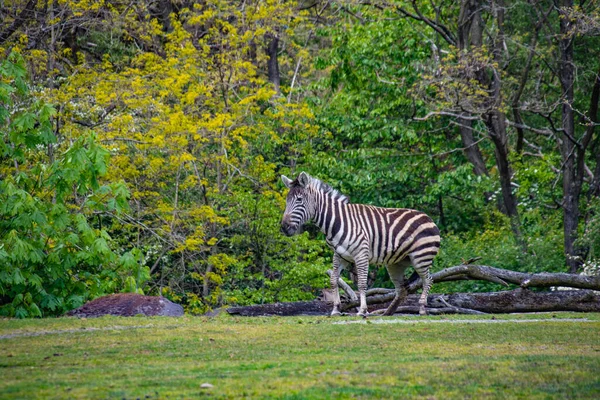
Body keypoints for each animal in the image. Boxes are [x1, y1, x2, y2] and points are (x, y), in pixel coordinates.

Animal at [282, 173, 440, 318]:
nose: (284, 227)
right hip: (396, 263)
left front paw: (363, 311)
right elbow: (333, 280)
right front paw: (336, 309)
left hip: (421, 257)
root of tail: (428, 217)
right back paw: (388, 312)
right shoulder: (339, 255)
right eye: (287, 200)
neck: (336, 223)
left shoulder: (361, 254)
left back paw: (422, 308)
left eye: (299, 200)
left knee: (428, 280)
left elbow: (362, 283)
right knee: (402, 290)